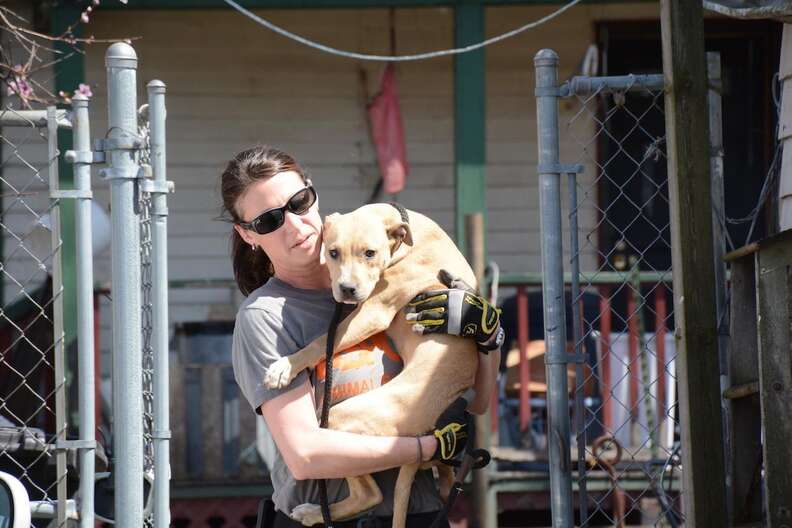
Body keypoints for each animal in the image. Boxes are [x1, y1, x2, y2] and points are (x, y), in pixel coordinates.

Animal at [262, 203, 480, 528]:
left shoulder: (371, 313)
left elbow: (319, 343)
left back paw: (313, 512)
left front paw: (284, 367)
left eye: (369, 253)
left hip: (338, 421)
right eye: (333, 252)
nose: (346, 289)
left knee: (370, 495)